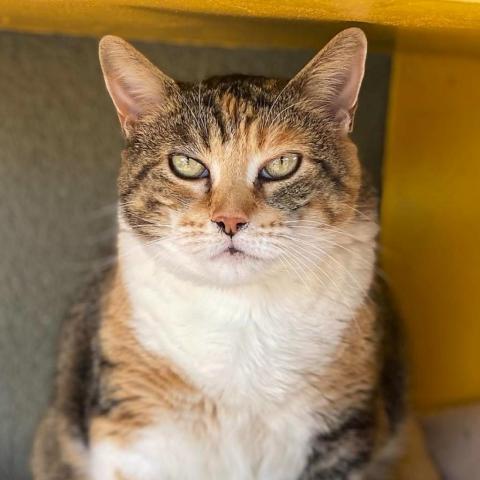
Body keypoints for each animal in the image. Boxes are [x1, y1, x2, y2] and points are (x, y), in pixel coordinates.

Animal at [31, 27, 438, 480]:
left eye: (283, 163)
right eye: (186, 165)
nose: (229, 220)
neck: (242, 315)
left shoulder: (340, 432)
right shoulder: (135, 428)